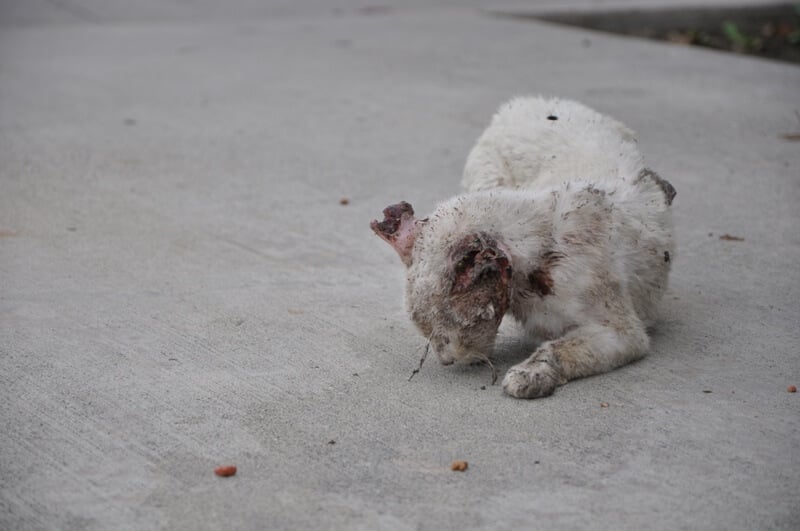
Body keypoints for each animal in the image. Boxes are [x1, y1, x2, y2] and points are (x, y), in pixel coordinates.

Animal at [372, 97, 672, 400]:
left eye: (450, 326)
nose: (446, 360)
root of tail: (520, 103)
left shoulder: (624, 332)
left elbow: (561, 349)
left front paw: (530, 374)